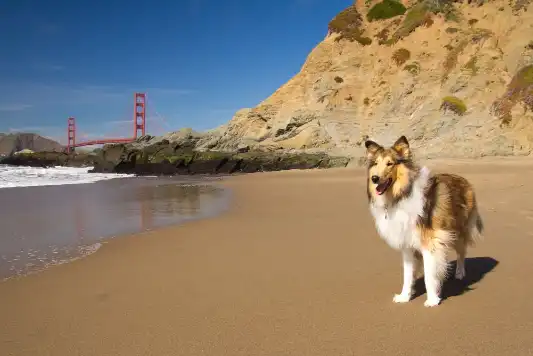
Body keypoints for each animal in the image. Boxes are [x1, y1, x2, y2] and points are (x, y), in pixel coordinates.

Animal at [366, 135, 482, 308]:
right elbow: (407, 275)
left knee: (462, 252)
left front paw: (432, 299)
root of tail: (463, 179)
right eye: (376, 163)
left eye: (390, 163)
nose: (375, 179)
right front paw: (404, 297)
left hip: (458, 231)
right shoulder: (407, 244)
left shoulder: (429, 242)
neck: (400, 196)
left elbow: (428, 274)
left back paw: (460, 273)